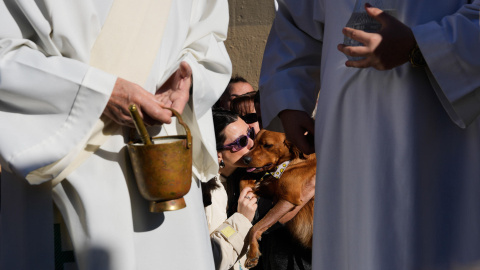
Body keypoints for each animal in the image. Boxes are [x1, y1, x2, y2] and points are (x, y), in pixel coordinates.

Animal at [239, 129, 316, 268]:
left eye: (268, 145)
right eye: (254, 143)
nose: (244, 159)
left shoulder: (288, 200)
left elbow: (255, 227)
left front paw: (252, 254)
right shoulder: (271, 191)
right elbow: (243, 180)